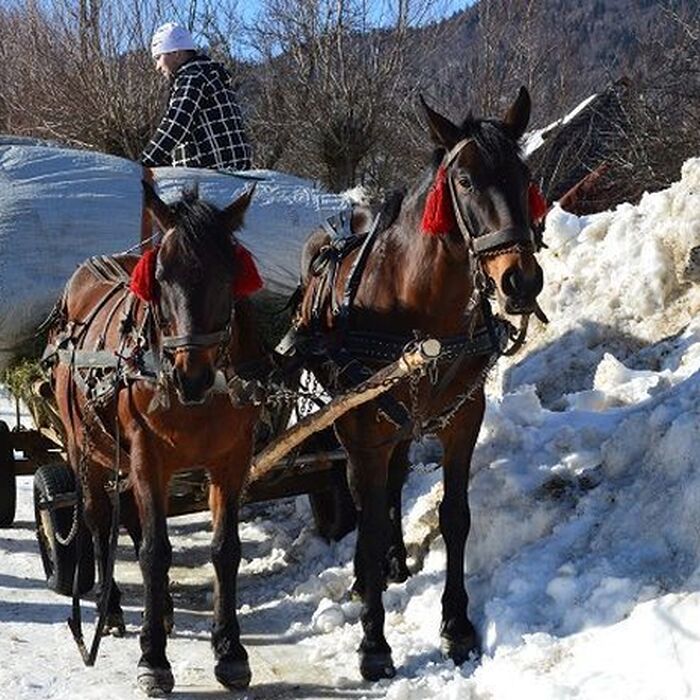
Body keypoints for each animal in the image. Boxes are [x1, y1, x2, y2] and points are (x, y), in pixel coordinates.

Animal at [45, 185, 262, 696]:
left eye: (229, 274)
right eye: (161, 277)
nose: (192, 376)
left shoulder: (232, 457)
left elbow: (225, 550)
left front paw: (230, 651)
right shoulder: (147, 453)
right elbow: (153, 552)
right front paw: (154, 659)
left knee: (130, 518)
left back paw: (159, 611)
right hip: (85, 449)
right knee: (98, 521)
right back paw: (113, 609)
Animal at [294, 86, 540, 680]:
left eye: (524, 177)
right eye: (466, 181)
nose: (520, 281)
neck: (420, 313)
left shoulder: (463, 421)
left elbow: (455, 517)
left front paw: (457, 627)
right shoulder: (362, 434)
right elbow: (366, 521)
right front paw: (374, 643)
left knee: (395, 483)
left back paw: (396, 563)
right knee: (368, 500)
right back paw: (368, 579)